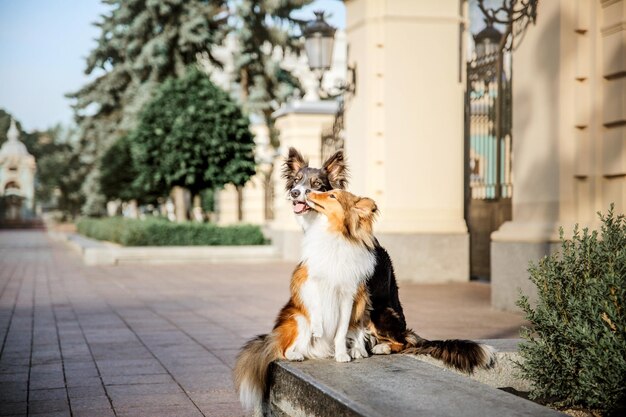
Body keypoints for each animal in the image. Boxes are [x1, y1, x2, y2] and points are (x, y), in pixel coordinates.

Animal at [233, 190, 376, 412]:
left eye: (332, 195)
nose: (305, 191)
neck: (332, 235)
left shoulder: (349, 295)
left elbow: (342, 330)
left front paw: (342, 354)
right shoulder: (308, 280)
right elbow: (316, 306)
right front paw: (319, 327)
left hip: (361, 305)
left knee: (356, 330)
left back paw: (356, 350)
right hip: (299, 320)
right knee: (285, 349)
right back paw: (296, 354)